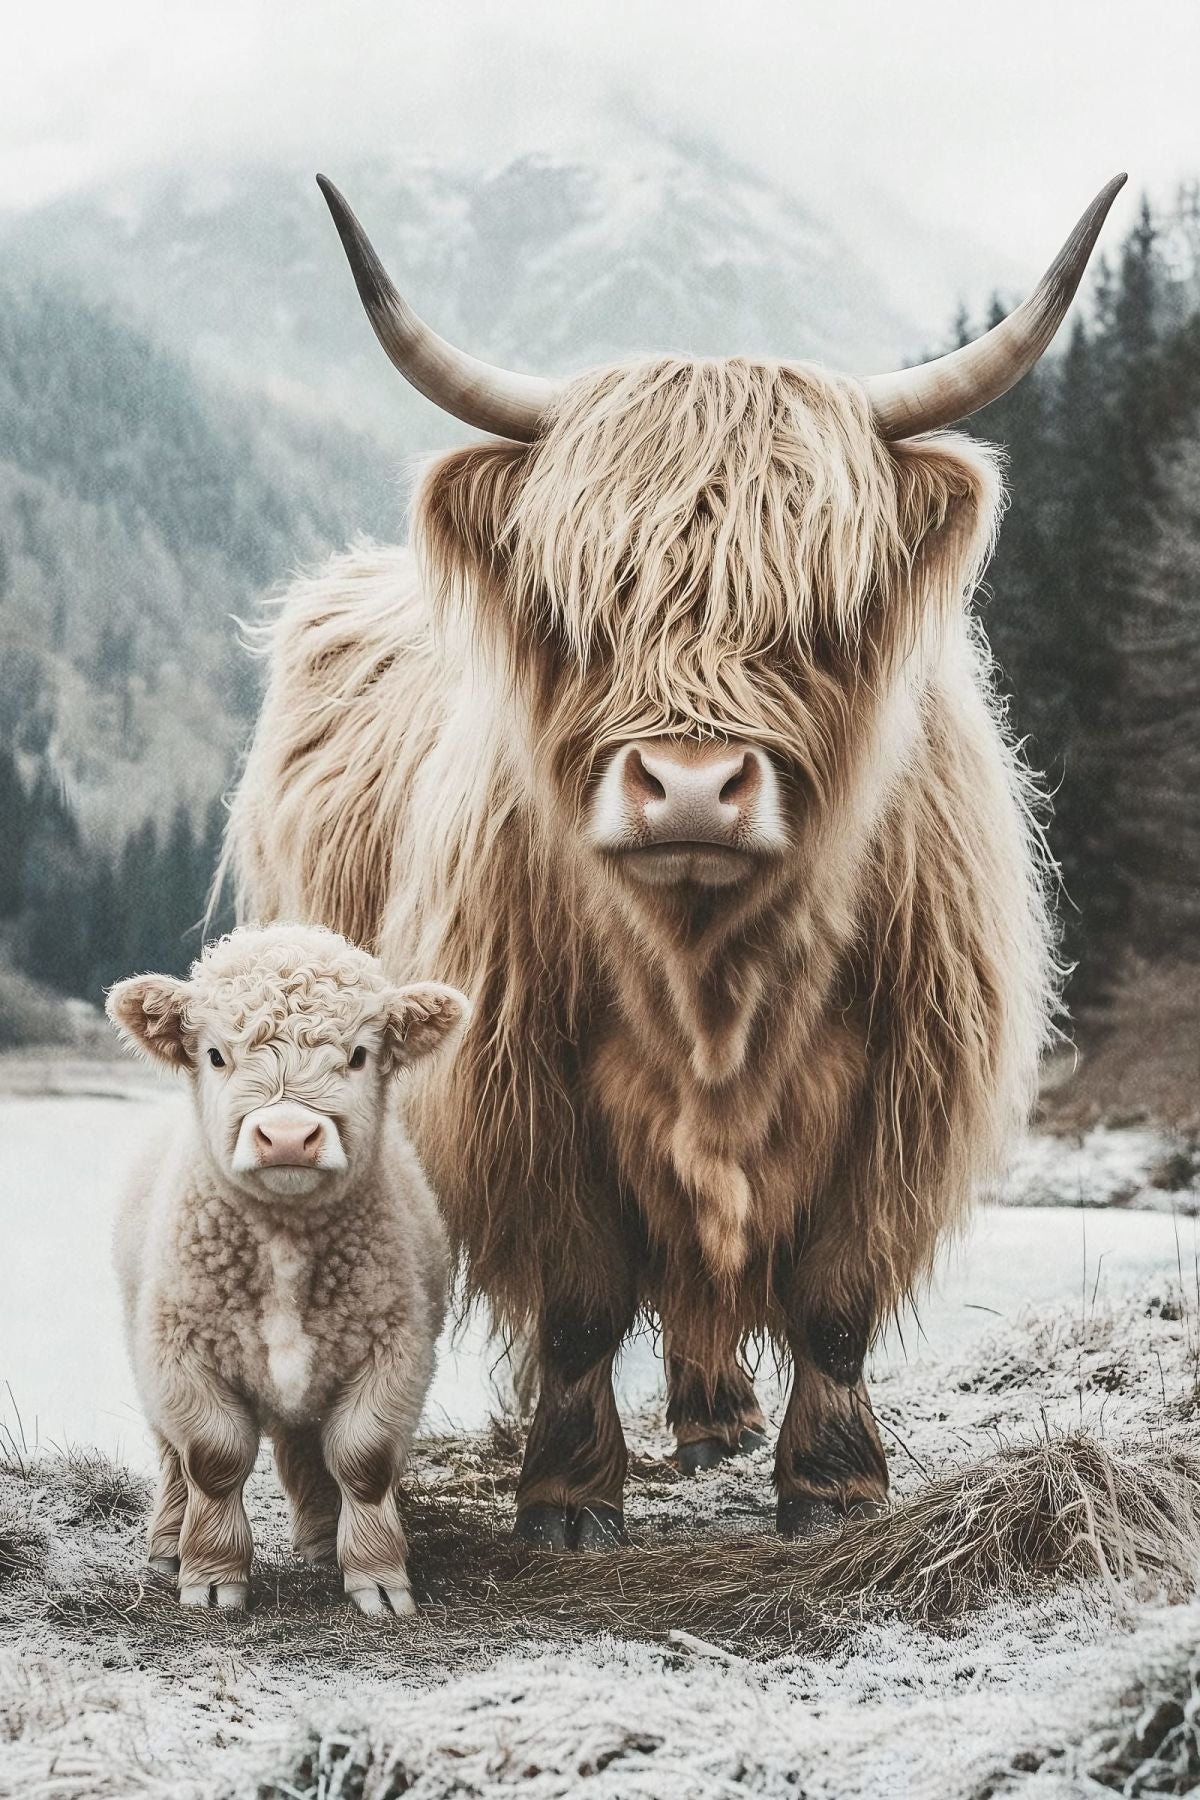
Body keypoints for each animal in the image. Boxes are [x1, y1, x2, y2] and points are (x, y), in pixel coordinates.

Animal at [225, 171, 1125, 1547]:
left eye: (818, 605)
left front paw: (833, 1483)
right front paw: (566, 1497)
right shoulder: (523, 1086)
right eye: (588, 600)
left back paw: (716, 1420)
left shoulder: (901, 1090)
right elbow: (585, 1297)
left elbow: (833, 1299)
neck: (714, 975)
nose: (692, 788)